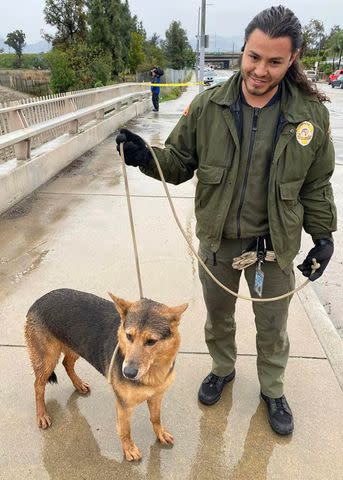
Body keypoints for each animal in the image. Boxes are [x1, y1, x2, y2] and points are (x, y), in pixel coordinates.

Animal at [24, 288, 188, 462]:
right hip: (47, 359)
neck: (152, 371)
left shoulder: (156, 396)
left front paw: (160, 433)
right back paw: (42, 414)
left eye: (151, 341)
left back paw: (78, 384)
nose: (127, 373)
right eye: (129, 336)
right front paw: (129, 449)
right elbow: (125, 431)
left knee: (67, 364)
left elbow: (156, 418)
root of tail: (39, 300)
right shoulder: (124, 406)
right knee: (38, 385)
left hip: (77, 347)